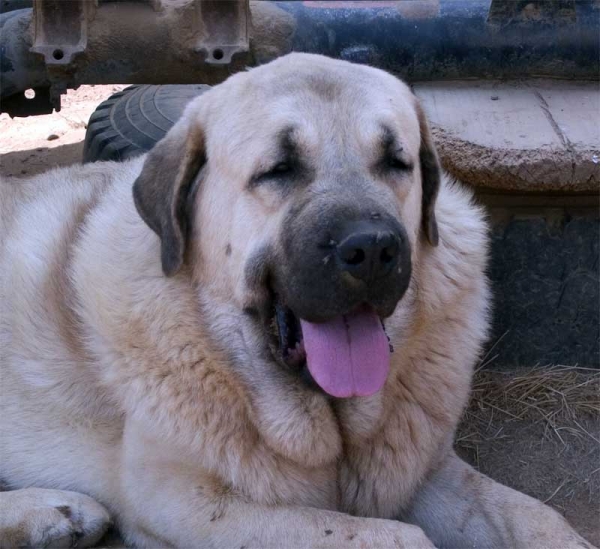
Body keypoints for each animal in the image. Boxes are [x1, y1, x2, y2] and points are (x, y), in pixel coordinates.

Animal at [0, 52, 592, 548]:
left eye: (396, 162)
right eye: (279, 169)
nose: (372, 249)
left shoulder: (425, 471)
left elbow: (536, 518)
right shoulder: (187, 503)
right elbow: (386, 536)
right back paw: (53, 513)